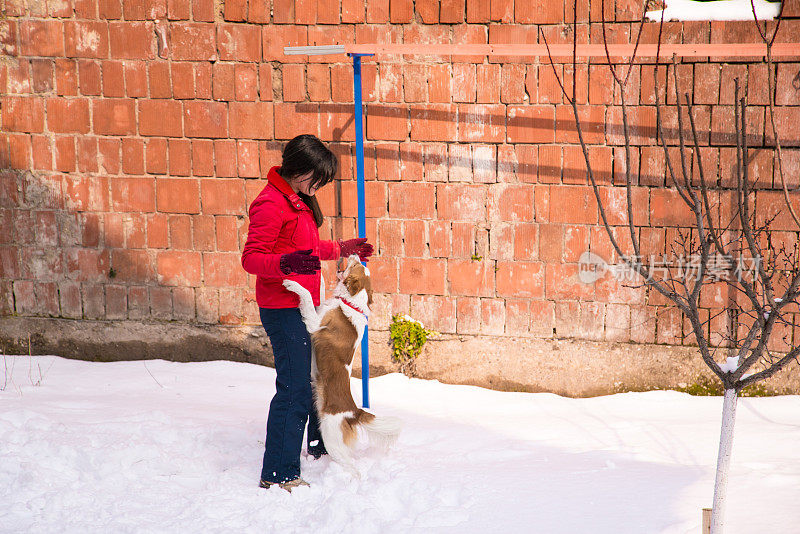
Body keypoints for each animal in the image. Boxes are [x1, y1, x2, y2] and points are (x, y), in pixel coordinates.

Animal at [284, 255, 404, 478]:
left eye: (355, 265)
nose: (355, 255)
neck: (350, 303)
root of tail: (354, 412)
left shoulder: (314, 324)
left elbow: (306, 296)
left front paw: (293, 284)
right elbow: (319, 290)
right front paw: (319, 276)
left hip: (331, 438)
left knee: (354, 469)